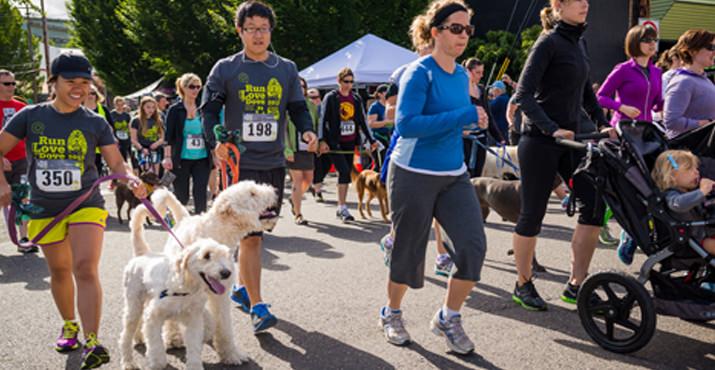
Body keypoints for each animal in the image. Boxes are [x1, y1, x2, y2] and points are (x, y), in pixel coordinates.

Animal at [121, 205, 245, 370]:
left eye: (225, 255)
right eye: (206, 255)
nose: (227, 273)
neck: (185, 289)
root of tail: (143, 254)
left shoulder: (194, 320)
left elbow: (194, 347)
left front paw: (194, 365)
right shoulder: (153, 316)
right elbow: (155, 345)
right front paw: (157, 362)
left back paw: (139, 338)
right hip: (133, 305)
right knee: (125, 335)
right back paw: (128, 362)